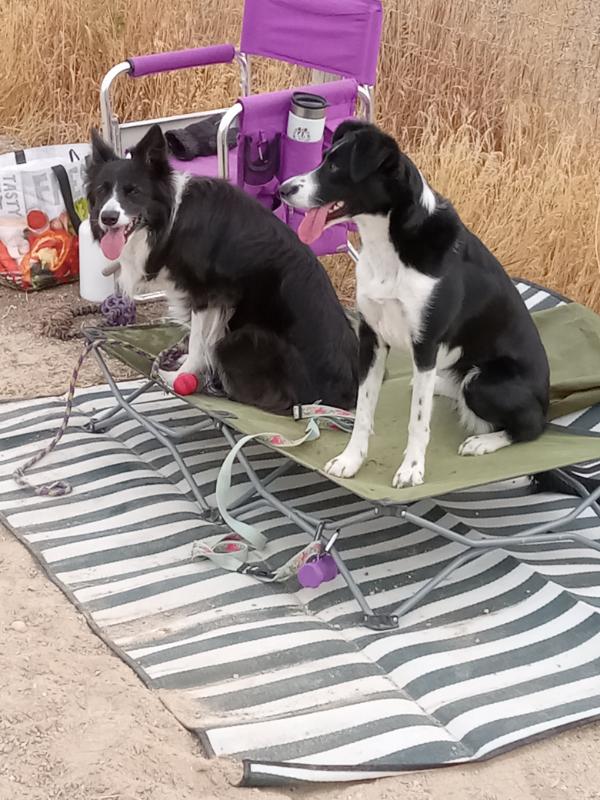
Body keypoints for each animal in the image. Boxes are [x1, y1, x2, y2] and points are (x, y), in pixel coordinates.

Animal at [86, 124, 358, 414]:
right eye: (102, 191)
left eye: (133, 191)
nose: (108, 218)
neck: (173, 216)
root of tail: (346, 397)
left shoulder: (210, 294)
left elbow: (198, 341)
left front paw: (179, 376)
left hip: (241, 338)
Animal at [279, 119, 550, 488]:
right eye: (323, 159)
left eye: (335, 167)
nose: (283, 189)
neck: (390, 246)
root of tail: (549, 400)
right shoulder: (371, 338)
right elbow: (363, 410)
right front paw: (351, 460)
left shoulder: (425, 344)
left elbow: (418, 421)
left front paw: (411, 469)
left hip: (485, 383)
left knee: (530, 427)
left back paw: (483, 441)